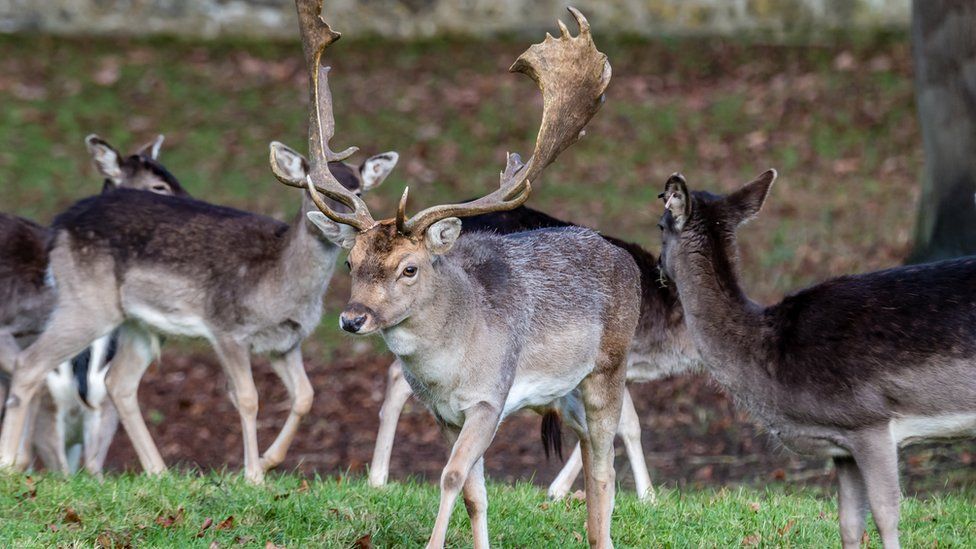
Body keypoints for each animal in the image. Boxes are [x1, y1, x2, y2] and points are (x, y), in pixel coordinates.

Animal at [0, 131, 398, 478]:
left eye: (359, 190)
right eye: (312, 190)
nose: (339, 225)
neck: (280, 286)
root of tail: (60, 225)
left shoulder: (286, 342)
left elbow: (305, 396)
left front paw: (268, 462)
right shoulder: (227, 329)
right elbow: (247, 397)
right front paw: (252, 476)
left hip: (139, 325)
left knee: (119, 382)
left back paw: (160, 472)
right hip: (88, 305)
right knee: (29, 364)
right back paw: (9, 464)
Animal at [274, 3, 640, 544]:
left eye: (409, 267)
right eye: (350, 261)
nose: (352, 319)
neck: (448, 368)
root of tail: (630, 263)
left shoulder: (489, 398)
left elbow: (449, 476)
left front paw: (433, 543)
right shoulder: (442, 413)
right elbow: (474, 492)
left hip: (608, 369)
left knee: (603, 466)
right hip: (567, 393)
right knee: (591, 463)